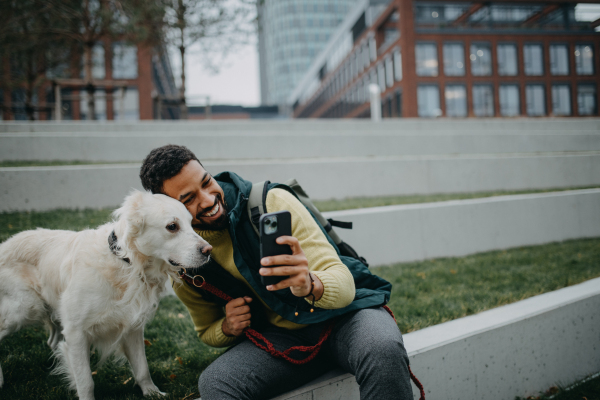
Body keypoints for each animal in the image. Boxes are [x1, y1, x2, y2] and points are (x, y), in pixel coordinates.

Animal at [0, 191, 213, 400]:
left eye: (191, 223)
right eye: (172, 226)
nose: (208, 251)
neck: (126, 263)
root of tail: (4, 245)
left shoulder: (133, 327)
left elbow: (142, 368)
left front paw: (152, 393)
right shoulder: (76, 332)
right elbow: (86, 381)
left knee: (53, 342)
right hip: (25, 308)